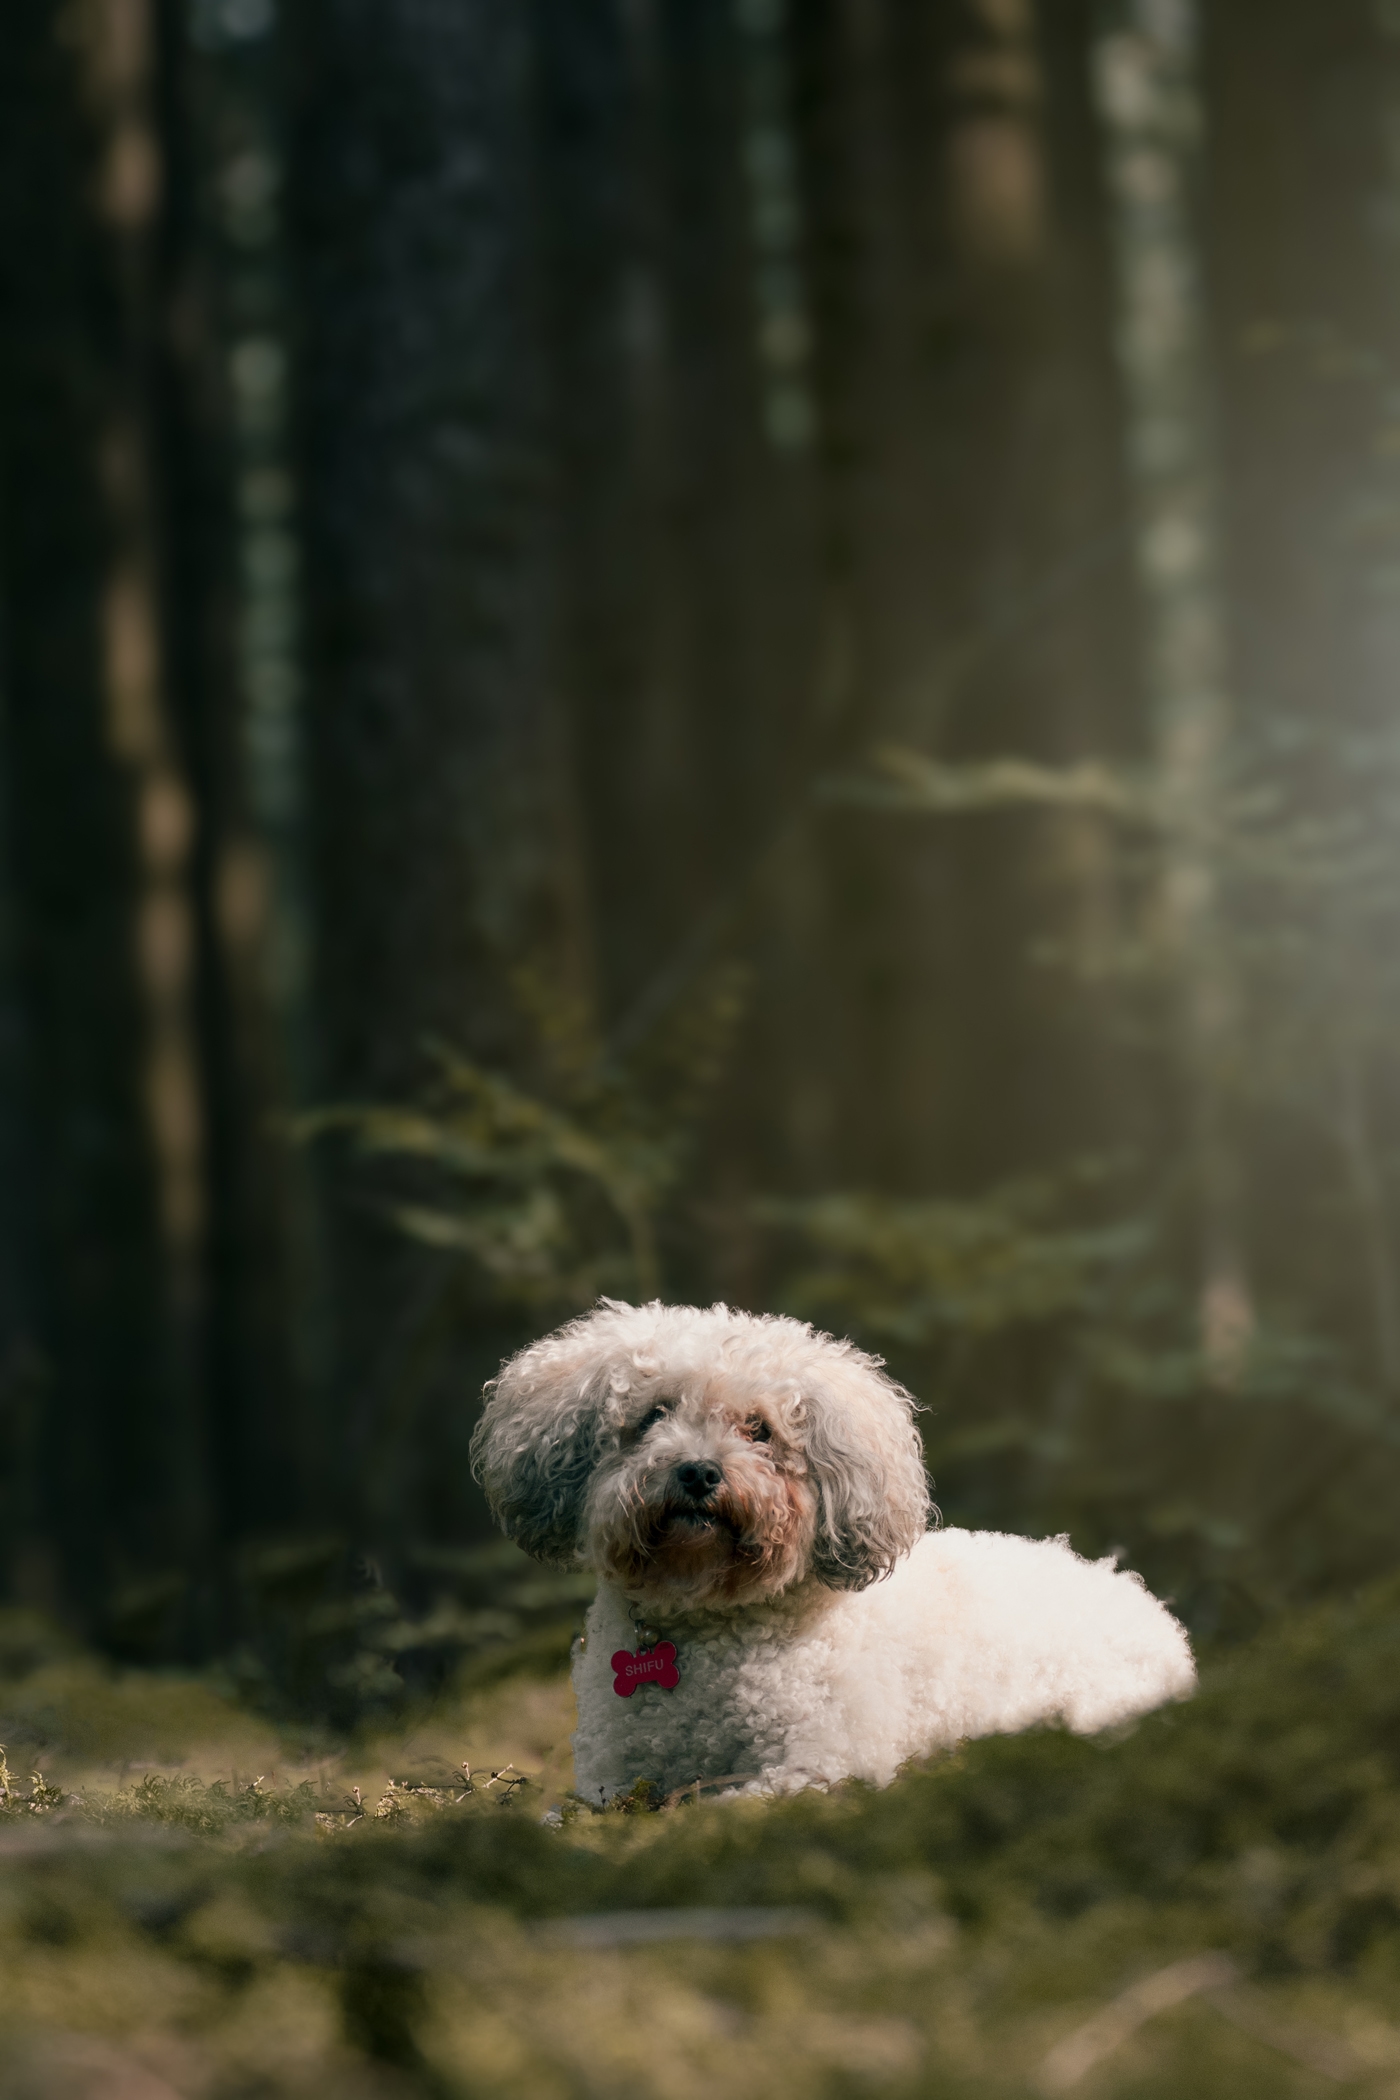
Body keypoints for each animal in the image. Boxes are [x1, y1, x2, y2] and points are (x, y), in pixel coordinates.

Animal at [470, 1302, 1192, 1797]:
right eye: (653, 1415)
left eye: (759, 1429)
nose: (698, 1472)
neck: (706, 1619)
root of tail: (1132, 1591)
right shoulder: (611, 1778)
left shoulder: (816, 1764)